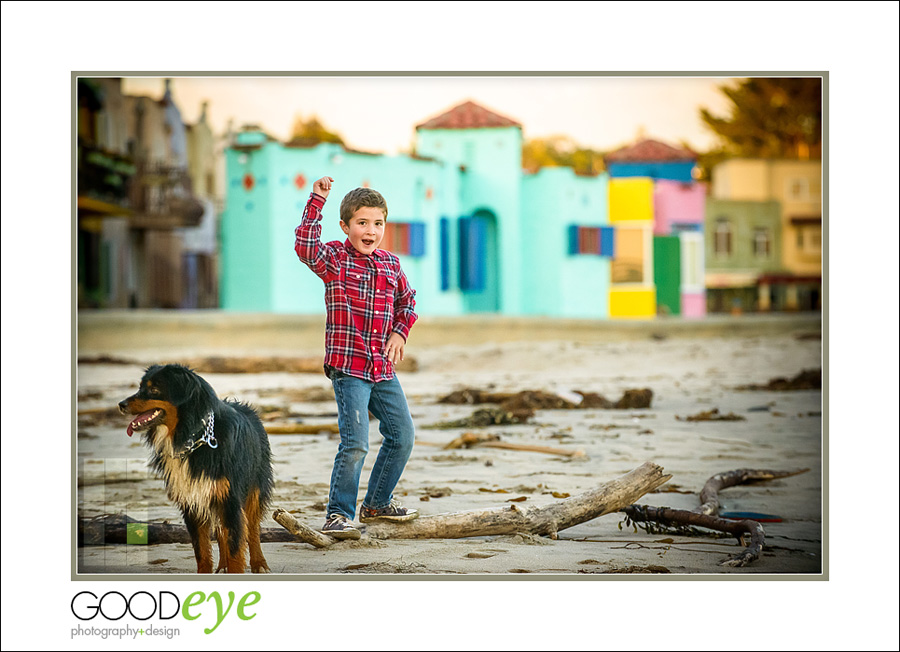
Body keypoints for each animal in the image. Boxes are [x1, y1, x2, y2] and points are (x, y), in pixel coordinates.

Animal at [119, 364, 274, 572]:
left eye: (154, 389)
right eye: (140, 387)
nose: (121, 404)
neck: (194, 439)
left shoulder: (230, 499)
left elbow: (236, 548)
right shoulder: (192, 500)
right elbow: (202, 551)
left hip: (253, 489)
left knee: (253, 528)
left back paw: (259, 564)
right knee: (222, 532)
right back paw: (222, 566)